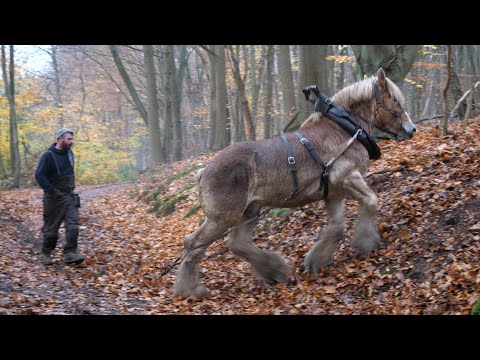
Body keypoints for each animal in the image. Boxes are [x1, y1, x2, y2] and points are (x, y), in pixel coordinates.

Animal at [175, 67, 416, 298]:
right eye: (394, 100)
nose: (411, 129)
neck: (344, 130)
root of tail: (204, 171)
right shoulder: (347, 176)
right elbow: (371, 200)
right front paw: (366, 241)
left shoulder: (334, 192)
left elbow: (337, 227)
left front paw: (317, 259)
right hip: (223, 218)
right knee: (194, 244)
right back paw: (191, 289)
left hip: (250, 211)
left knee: (236, 242)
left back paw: (274, 269)